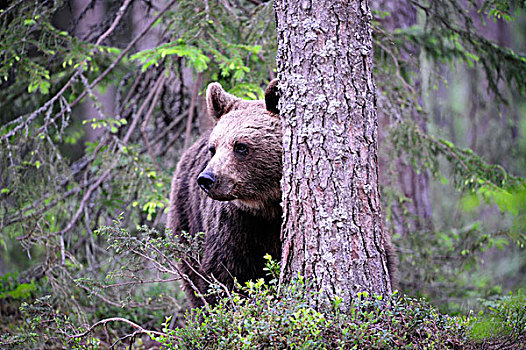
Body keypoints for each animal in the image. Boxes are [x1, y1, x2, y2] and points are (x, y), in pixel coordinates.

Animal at [169, 78, 284, 306]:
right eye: (213, 149)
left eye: (241, 146)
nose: (207, 179)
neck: (269, 207)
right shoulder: (236, 225)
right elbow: (225, 274)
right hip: (187, 216)